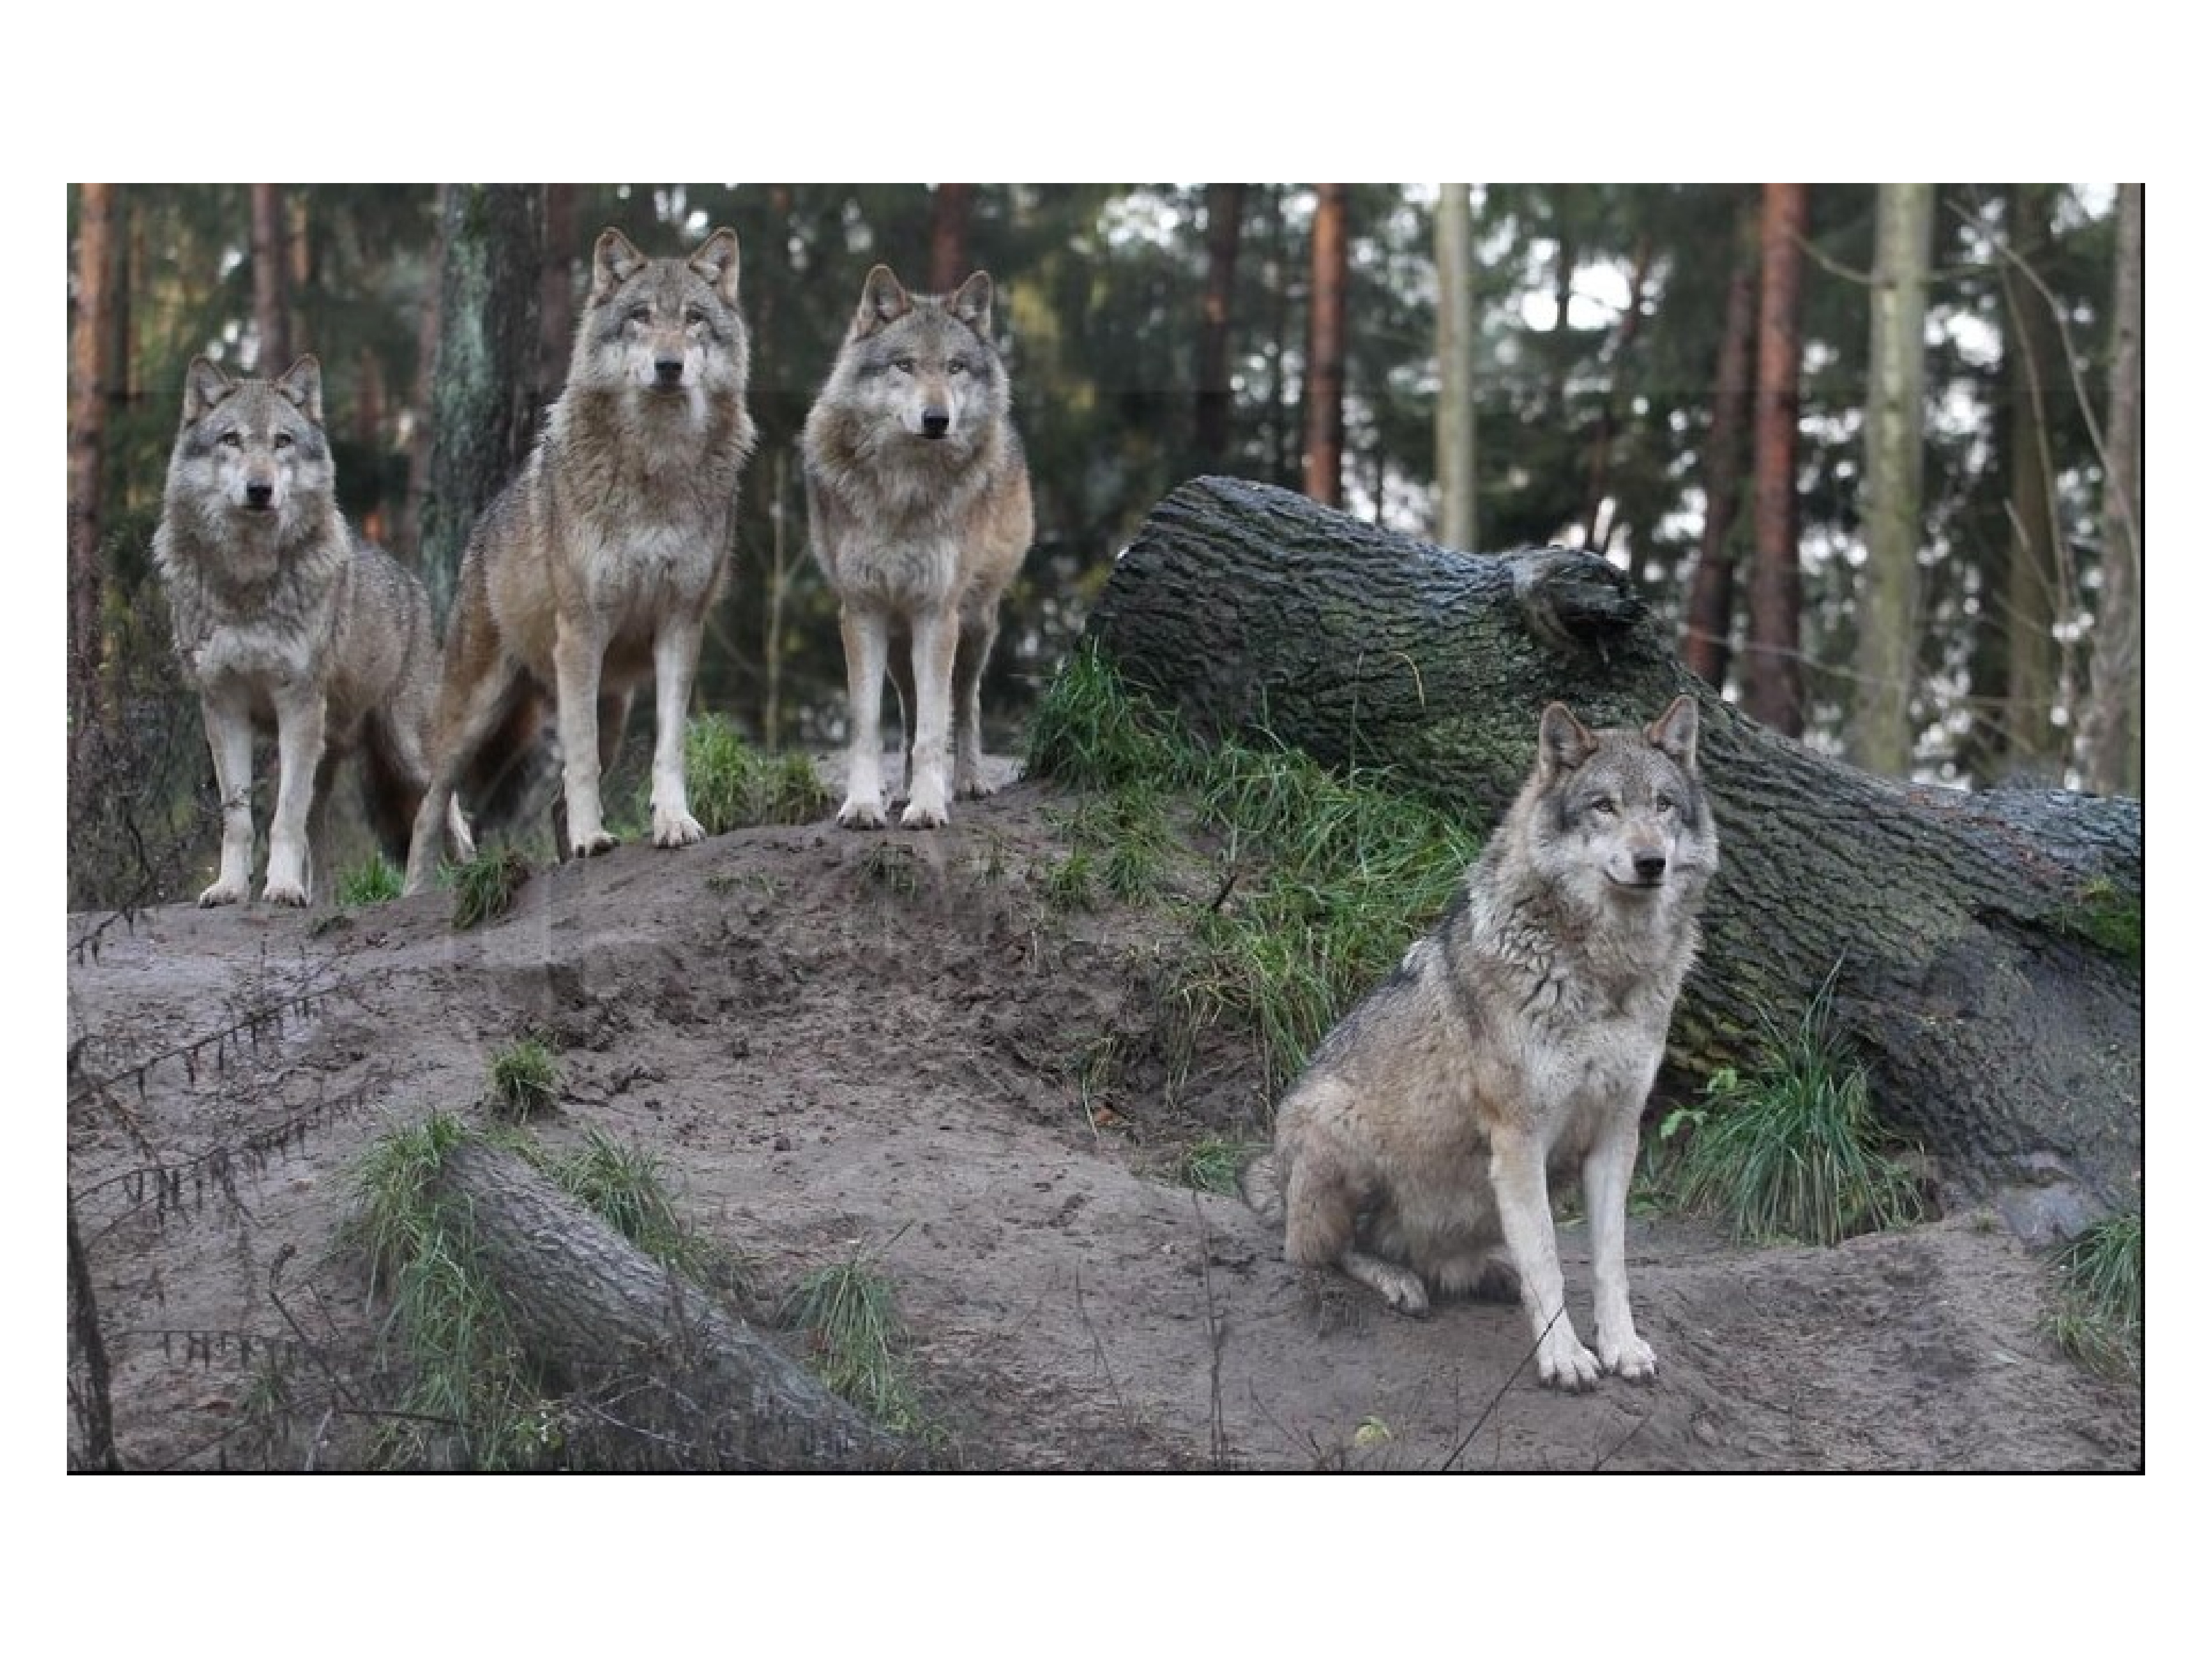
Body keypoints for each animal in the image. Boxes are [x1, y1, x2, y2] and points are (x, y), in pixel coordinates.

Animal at [154, 356, 473, 916]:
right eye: (231, 439)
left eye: (282, 441)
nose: (260, 490)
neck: (248, 586)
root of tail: (414, 584)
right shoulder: (223, 706)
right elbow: (239, 819)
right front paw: (232, 889)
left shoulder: (296, 703)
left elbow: (284, 818)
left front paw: (281, 889)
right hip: (331, 757)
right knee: (320, 840)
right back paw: (323, 901)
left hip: (407, 750)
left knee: (451, 816)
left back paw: (445, 883)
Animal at [407, 226, 761, 898]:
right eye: (641, 317)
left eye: (694, 319)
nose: (669, 366)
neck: (657, 467)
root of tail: (480, 529)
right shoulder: (581, 633)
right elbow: (581, 764)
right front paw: (597, 837)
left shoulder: (682, 625)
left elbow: (669, 747)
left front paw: (673, 823)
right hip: (478, 711)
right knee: (433, 803)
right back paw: (416, 892)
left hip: (611, 706)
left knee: (549, 801)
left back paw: (569, 856)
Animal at [801, 264, 1031, 832]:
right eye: (904, 365)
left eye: (954, 367)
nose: (936, 419)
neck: (903, 490)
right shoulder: (862, 611)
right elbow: (869, 726)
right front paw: (864, 804)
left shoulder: (936, 613)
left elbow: (934, 728)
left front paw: (929, 806)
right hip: (901, 641)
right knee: (907, 711)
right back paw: (902, 790)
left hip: (975, 624)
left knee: (964, 703)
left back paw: (968, 781)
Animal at [1239, 695, 1717, 1398]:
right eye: (1603, 806)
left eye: (1662, 805)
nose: (1650, 861)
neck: (1604, 974)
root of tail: (1276, 1165)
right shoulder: (1519, 1138)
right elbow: (1548, 1259)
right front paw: (1565, 1359)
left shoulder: (1616, 1133)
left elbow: (1610, 1262)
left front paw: (1621, 1348)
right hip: (1340, 1125)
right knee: (1316, 1253)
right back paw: (1399, 1280)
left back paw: (1481, 1274)